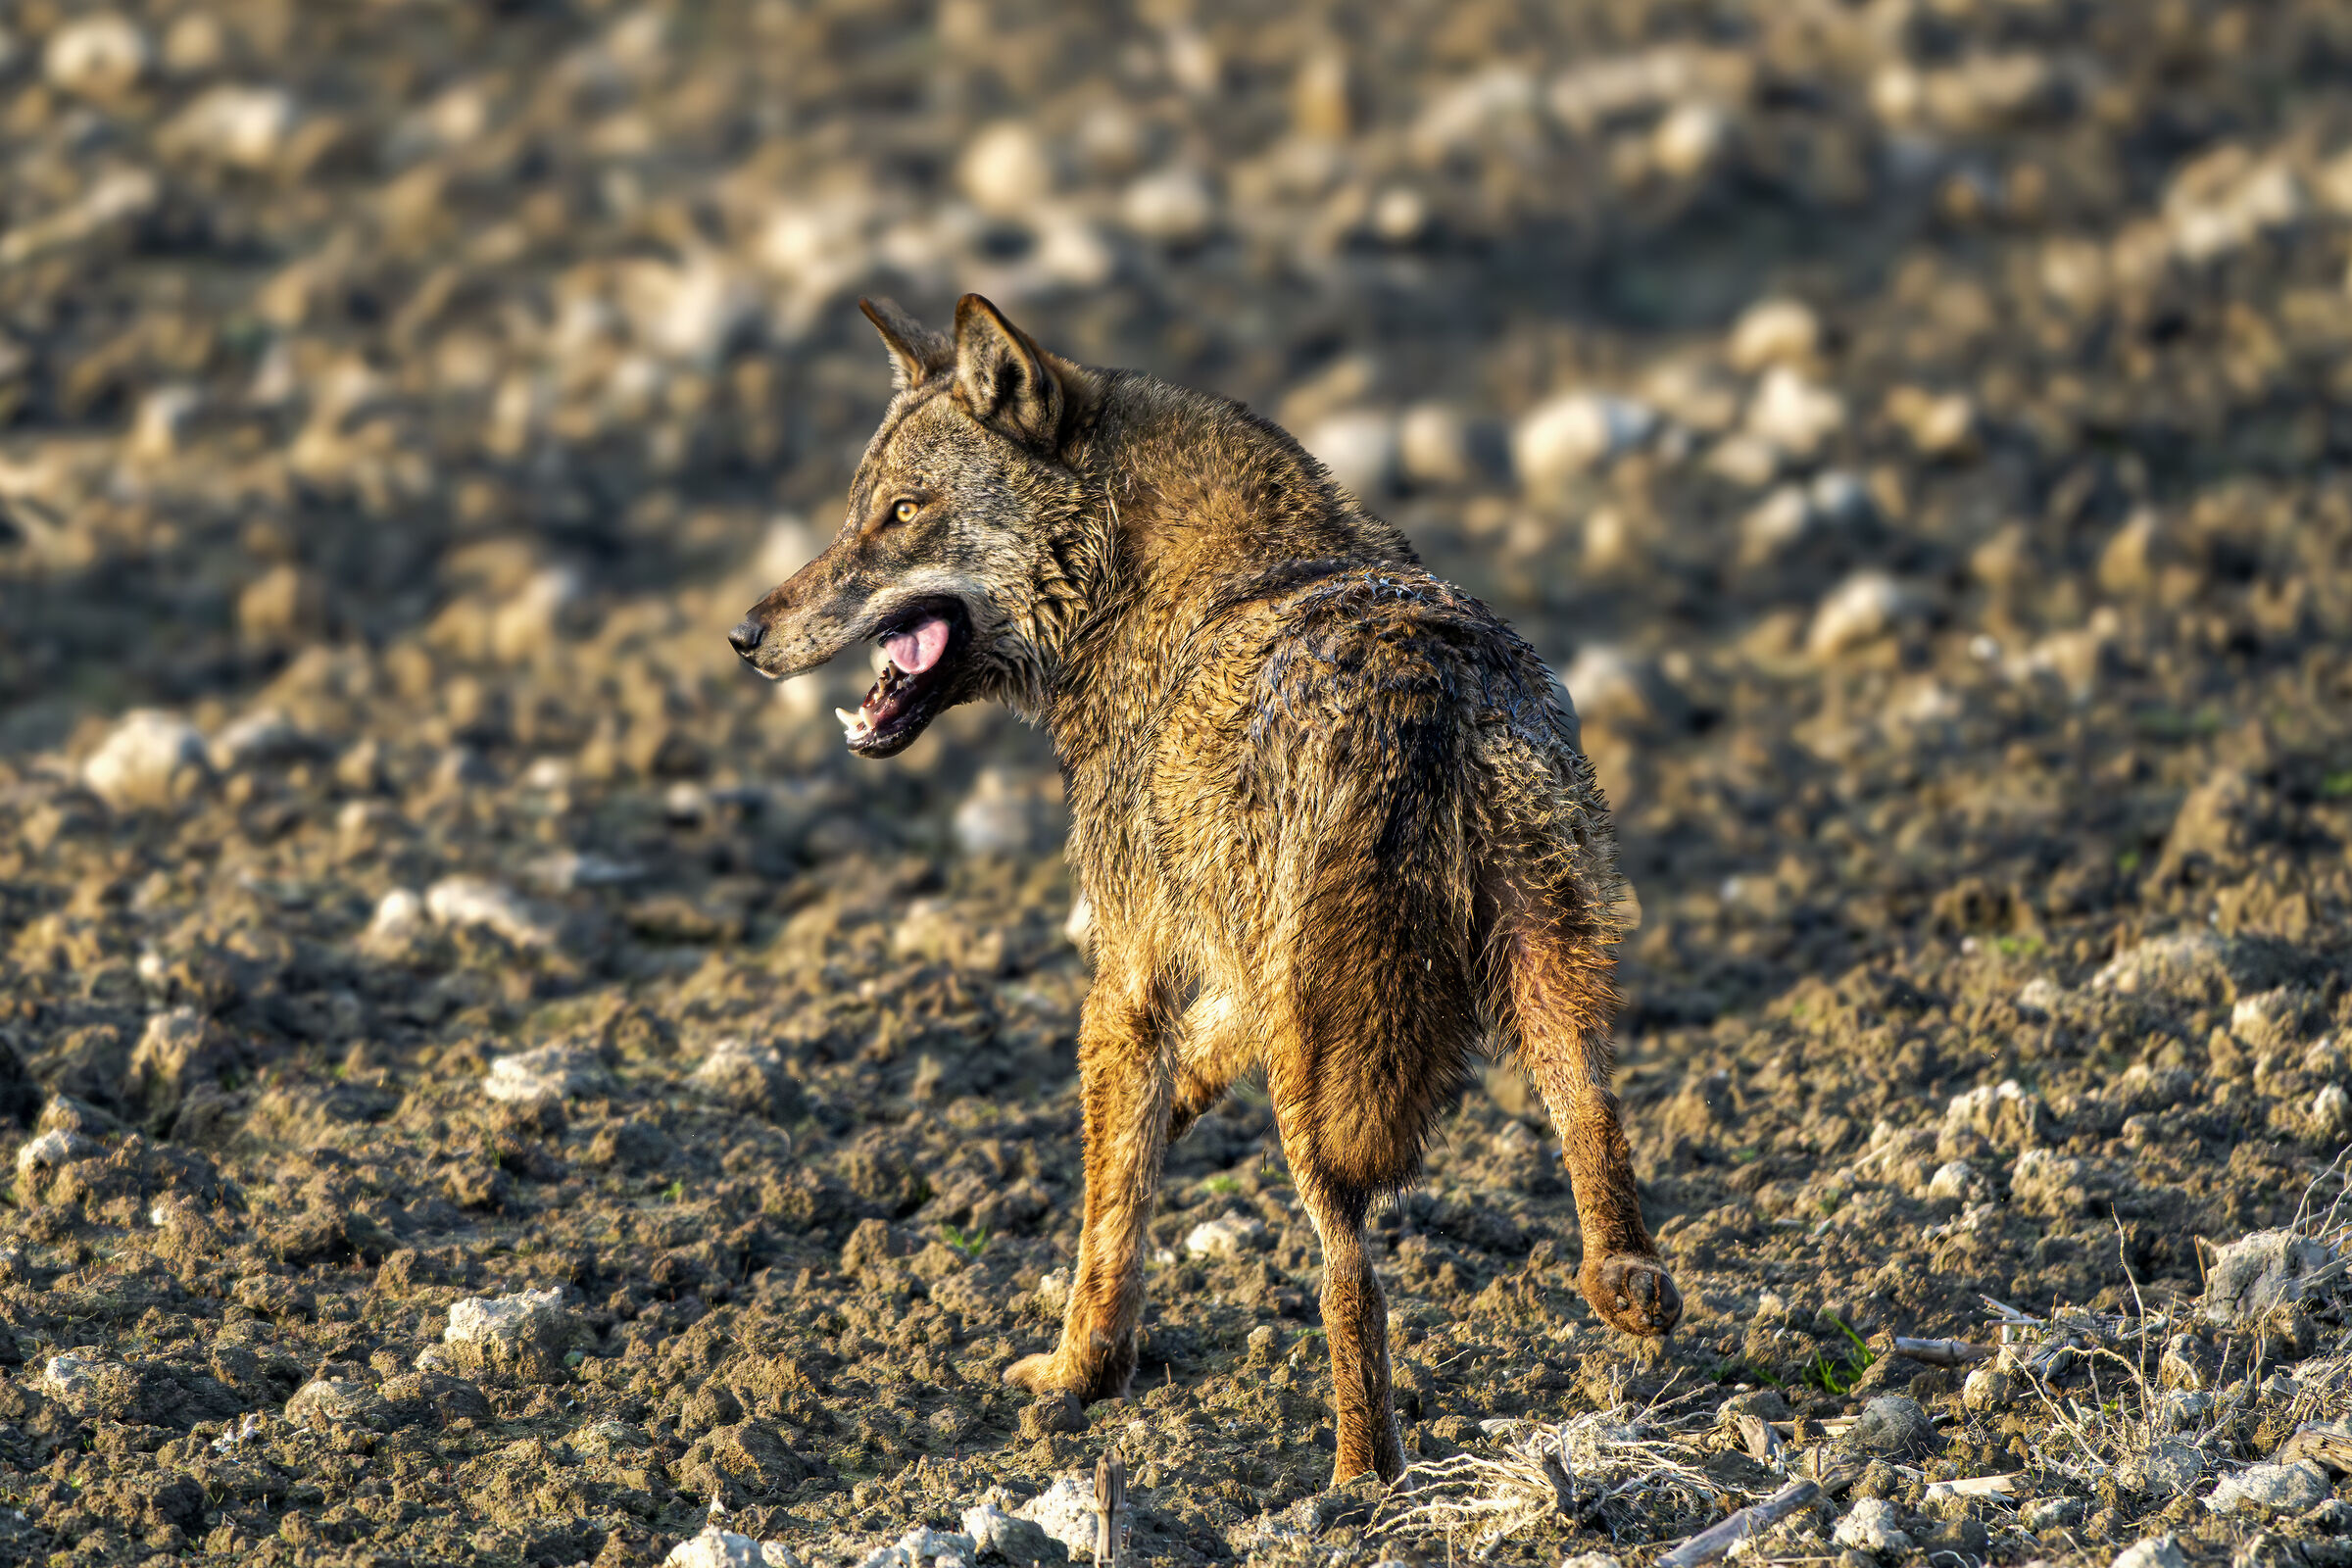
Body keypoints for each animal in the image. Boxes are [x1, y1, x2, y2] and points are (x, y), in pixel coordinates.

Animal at [728, 295, 1681, 1483]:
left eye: (901, 515)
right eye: (859, 512)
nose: (744, 636)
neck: (1128, 583)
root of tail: (1419, 687)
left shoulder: (1124, 978)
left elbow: (1109, 1229)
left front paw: (1076, 1375)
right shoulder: (1221, 955)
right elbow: (1180, 1087)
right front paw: (1167, 1112)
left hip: (1332, 1070)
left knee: (1349, 1273)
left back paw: (1358, 1485)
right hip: (1539, 975)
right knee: (1592, 1115)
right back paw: (1626, 1291)